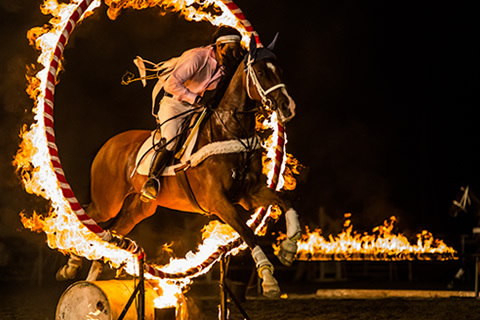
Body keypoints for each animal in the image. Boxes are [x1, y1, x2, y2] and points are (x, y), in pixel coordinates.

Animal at [56, 37, 302, 298]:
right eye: (261, 72)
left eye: (280, 70)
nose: (288, 107)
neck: (230, 131)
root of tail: (109, 144)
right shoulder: (218, 201)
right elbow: (247, 233)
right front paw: (269, 279)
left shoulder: (249, 194)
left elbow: (285, 200)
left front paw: (289, 247)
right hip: (108, 202)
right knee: (89, 213)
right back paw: (71, 264)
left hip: (138, 209)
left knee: (113, 232)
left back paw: (89, 279)